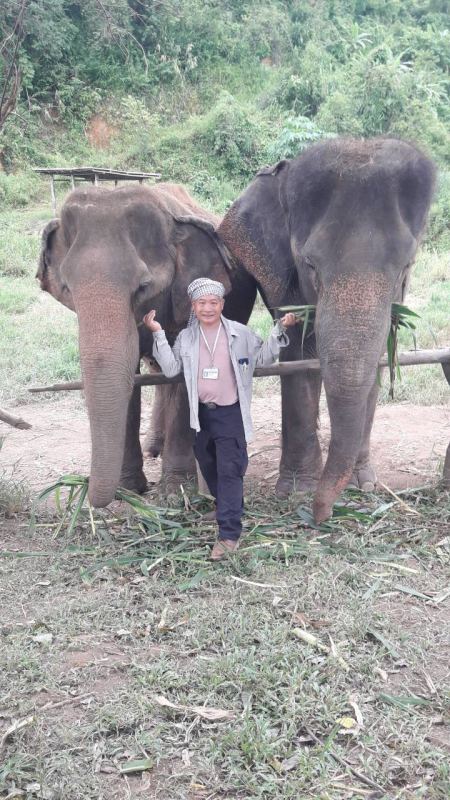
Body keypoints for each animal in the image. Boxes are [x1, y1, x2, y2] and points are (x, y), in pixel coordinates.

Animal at [37, 182, 256, 508]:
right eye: (66, 287)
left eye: (143, 287)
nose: (86, 491)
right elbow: (132, 378)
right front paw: (128, 489)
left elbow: (182, 376)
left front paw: (175, 493)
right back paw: (154, 447)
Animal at [218, 137, 436, 522]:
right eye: (310, 265)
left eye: (406, 267)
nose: (319, 516)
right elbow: (298, 356)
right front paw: (297, 490)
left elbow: (374, 363)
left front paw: (363, 485)